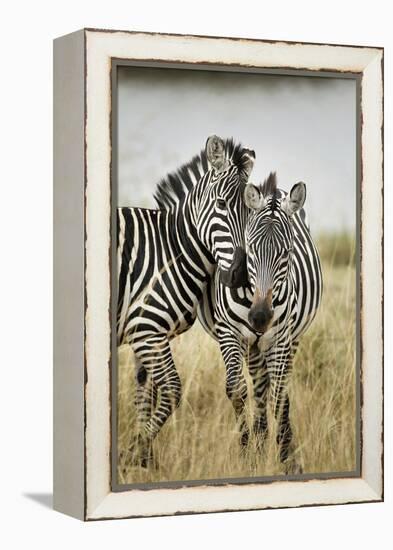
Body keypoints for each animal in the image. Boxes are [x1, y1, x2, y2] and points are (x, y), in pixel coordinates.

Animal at [116, 137, 256, 466]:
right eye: (221, 205)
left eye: (251, 210)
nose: (241, 275)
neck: (171, 248)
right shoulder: (148, 331)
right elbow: (171, 391)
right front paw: (133, 455)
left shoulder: (145, 334)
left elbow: (145, 393)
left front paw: (144, 460)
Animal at [196, 174, 322, 474]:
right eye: (250, 249)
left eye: (287, 252)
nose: (261, 317)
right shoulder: (230, 333)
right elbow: (237, 390)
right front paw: (247, 456)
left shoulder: (281, 338)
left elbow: (280, 396)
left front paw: (287, 458)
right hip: (253, 345)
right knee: (260, 388)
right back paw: (260, 442)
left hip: (291, 340)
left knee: (276, 388)